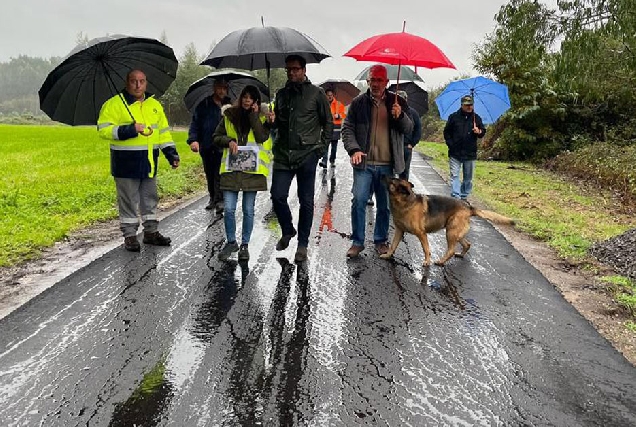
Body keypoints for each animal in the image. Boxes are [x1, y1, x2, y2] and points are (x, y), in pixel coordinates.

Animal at [380, 176, 516, 264]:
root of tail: (469, 207)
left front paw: (427, 262)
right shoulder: (399, 231)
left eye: (392, 180)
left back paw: (440, 262)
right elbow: (392, 246)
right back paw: (460, 255)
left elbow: (426, 249)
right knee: (467, 244)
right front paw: (387, 255)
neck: (405, 202)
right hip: (456, 233)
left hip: (450, 232)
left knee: (451, 250)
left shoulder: (421, 234)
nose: (382, 174)